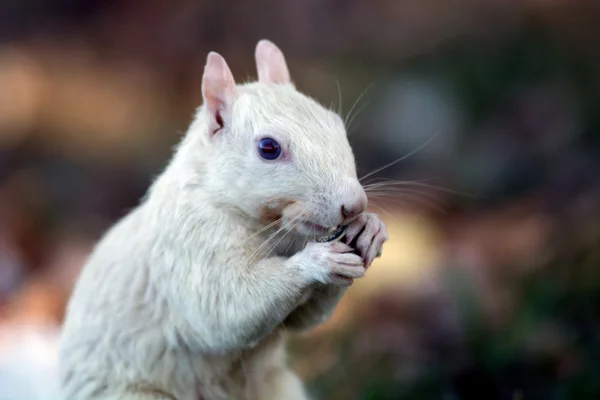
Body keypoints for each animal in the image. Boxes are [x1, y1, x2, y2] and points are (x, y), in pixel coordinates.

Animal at [58, 39, 390, 400]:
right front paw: (317, 262)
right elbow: (222, 311)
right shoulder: (188, 242)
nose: (354, 204)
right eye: (268, 148)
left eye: (336, 124)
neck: (270, 227)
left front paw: (371, 228)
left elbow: (304, 319)